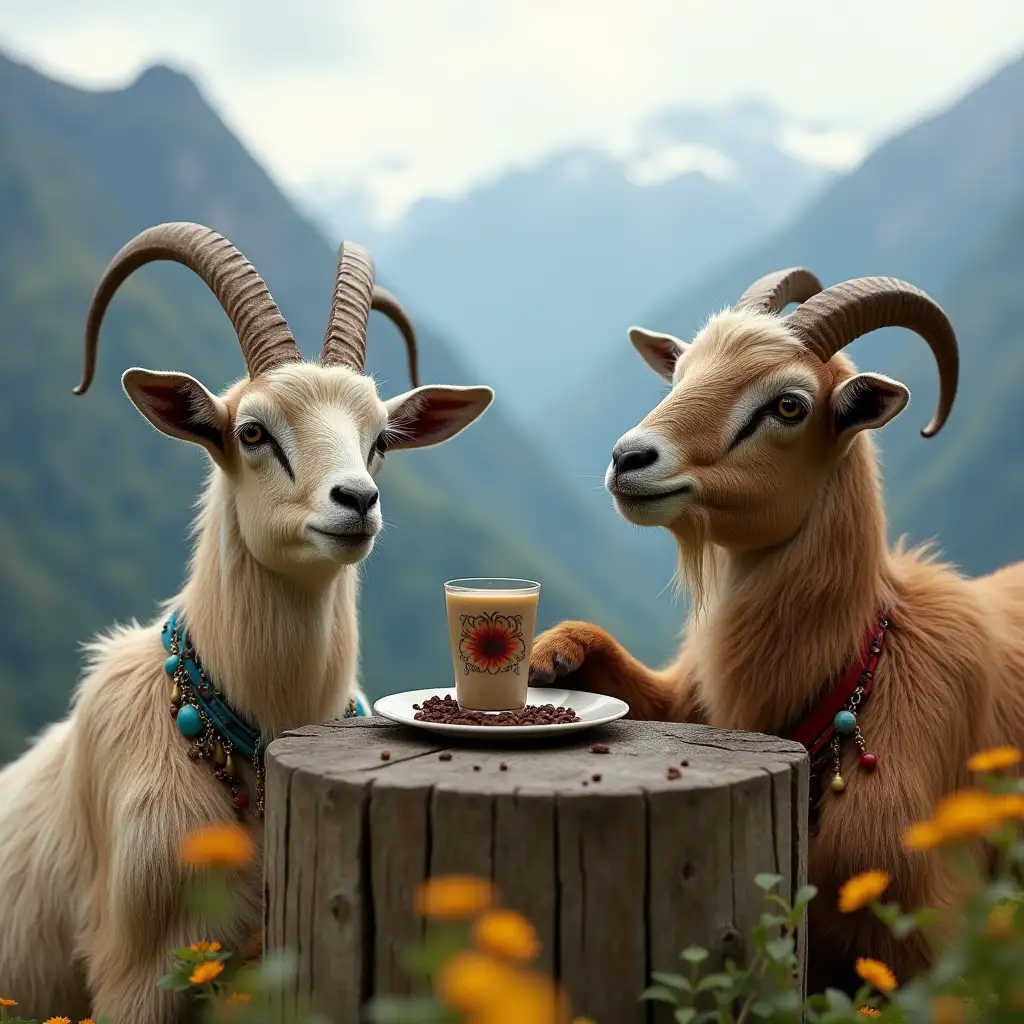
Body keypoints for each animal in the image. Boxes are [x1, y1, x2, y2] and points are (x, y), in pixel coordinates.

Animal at [532, 270, 1024, 991]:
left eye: (789, 406)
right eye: (679, 370)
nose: (629, 459)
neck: (857, 673)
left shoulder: (932, 946)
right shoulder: (690, 698)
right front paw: (549, 657)